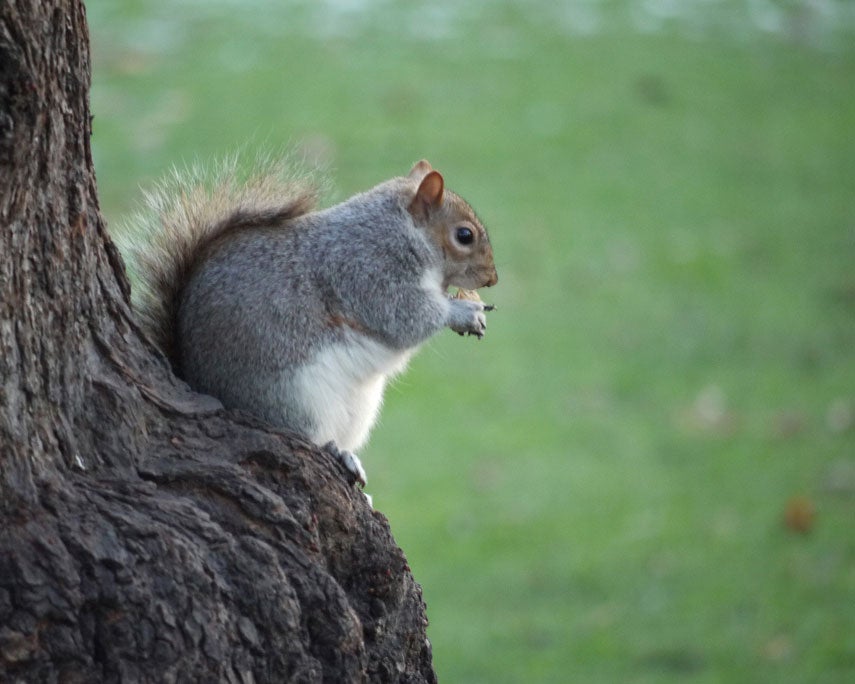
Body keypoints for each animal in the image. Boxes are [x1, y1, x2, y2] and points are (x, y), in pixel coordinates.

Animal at [117, 159, 498, 486]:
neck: (402, 231)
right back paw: (334, 452)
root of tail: (196, 379)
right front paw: (461, 312)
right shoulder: (365, 270)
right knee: (306, 436)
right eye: (464, 235)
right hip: (294, 397)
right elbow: (402, 315)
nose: (492, 279)